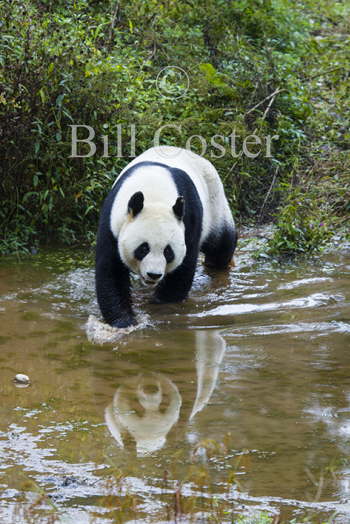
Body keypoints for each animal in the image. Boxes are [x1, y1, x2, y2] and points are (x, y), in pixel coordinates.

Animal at [95, 146, 238, 328]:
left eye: (168, 252)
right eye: (143, 248)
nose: (153, 275)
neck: (154, 193)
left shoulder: (189, 218)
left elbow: (183, 266)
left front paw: (162, 307)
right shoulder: (113, 222)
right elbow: (111, 271)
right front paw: (124, 321)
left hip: (214, 203)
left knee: (221, 244)